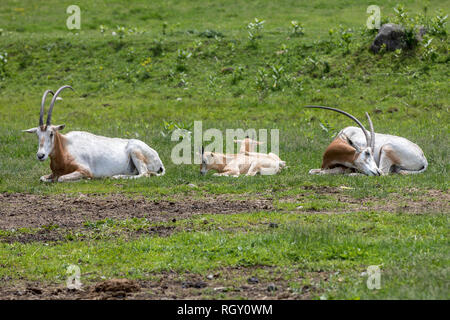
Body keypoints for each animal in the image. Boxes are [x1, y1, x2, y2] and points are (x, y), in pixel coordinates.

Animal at [22, 86, 165, 182]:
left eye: (51, 133)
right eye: (37, 134)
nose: (40, 155)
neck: (65, 147)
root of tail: (158, 158)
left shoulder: (84, 170)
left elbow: (61, 178)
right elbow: (42, 178)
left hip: (134, 150)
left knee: (145, 174)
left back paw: (116, 176)